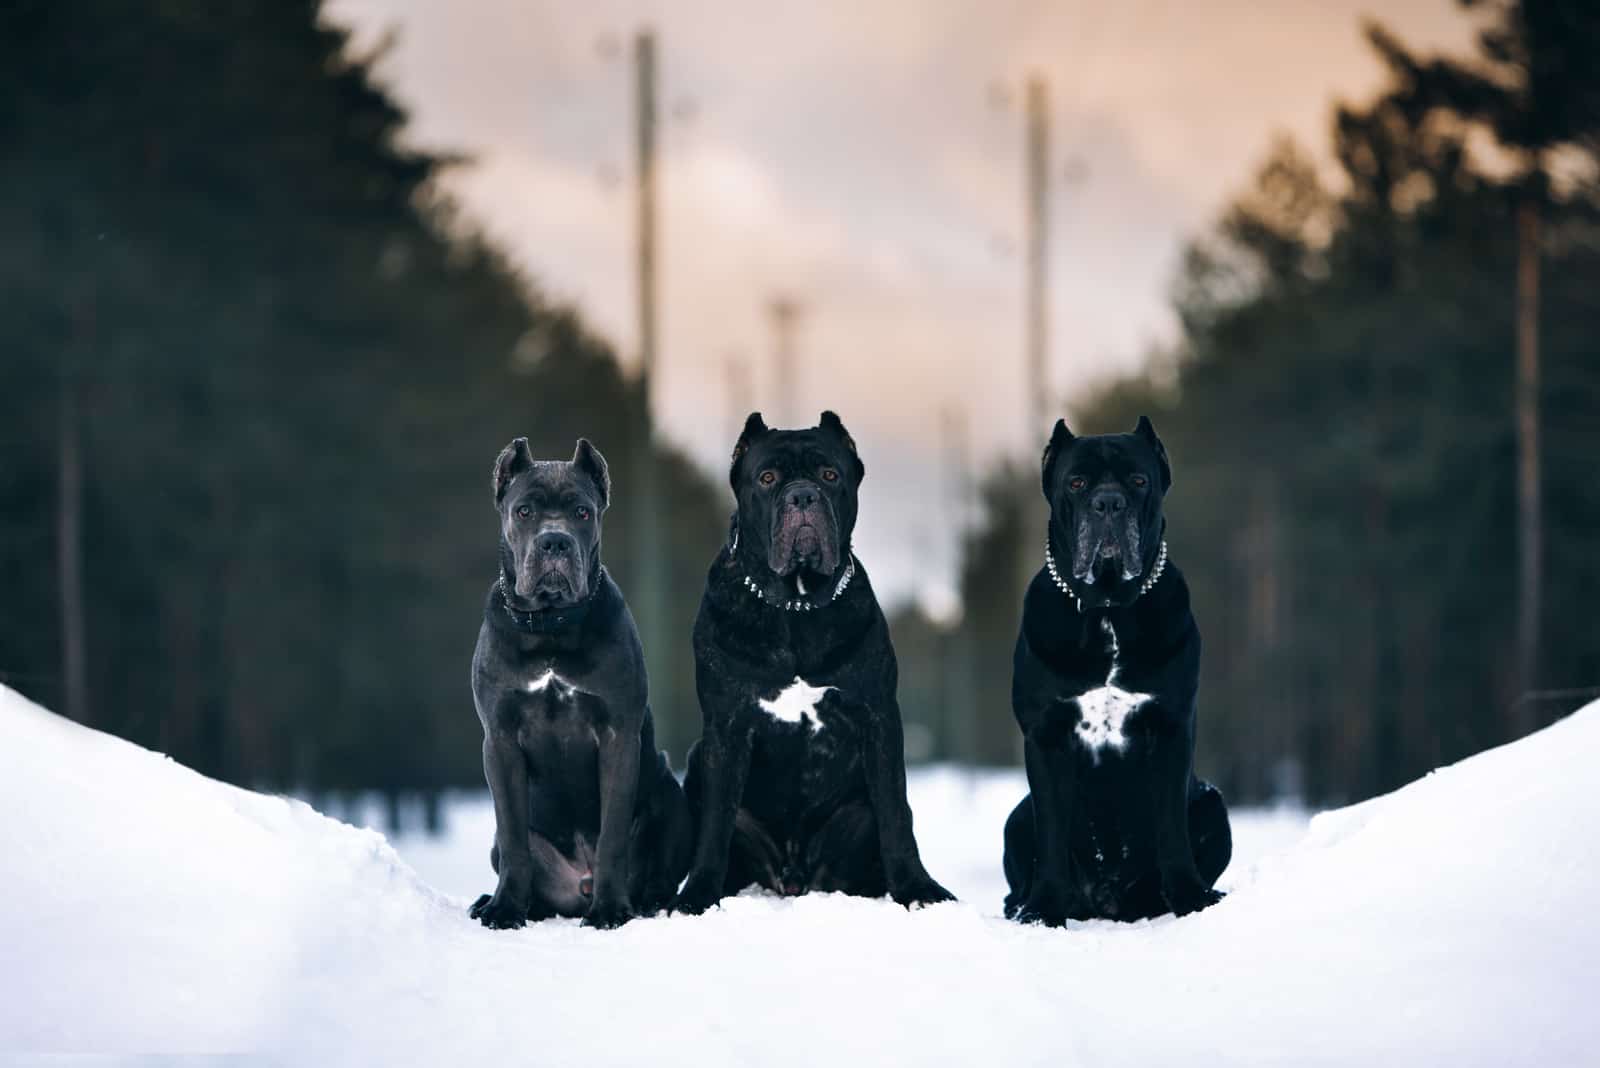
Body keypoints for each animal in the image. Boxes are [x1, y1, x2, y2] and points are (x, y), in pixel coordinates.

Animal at [464, 438, 688, 927]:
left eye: (582, 512)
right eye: (524, 510)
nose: (555, 540)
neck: (550, 626)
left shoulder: (619, 737)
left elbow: (612, 836)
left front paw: (609, 910)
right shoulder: (500, 741)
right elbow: (514, 838)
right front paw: (505, 909)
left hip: (668, 789)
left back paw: (646, 904)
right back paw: (494, 901)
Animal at [672, 412, 953, 914]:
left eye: (829, 474)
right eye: (767, 478)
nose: (802, 495)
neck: (795, 607)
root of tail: (794, 876)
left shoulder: (878, 717)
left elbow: (895, 813)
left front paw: (919, 890)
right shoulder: (725, 726)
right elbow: (715, 824)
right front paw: (697, 896)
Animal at [998, 418, 1235, 927]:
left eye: (1139, 480)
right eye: (1076, 483)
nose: (1108, 503)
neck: (1107, 611)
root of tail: (1107, 901)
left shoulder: (1170, 730)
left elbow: (1172, 831)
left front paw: (1190, 899)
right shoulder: (1046, 737)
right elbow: (1051, 836)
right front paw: (1043, 910)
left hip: (1213, 803)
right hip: (1017, 817)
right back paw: (1023, 904)